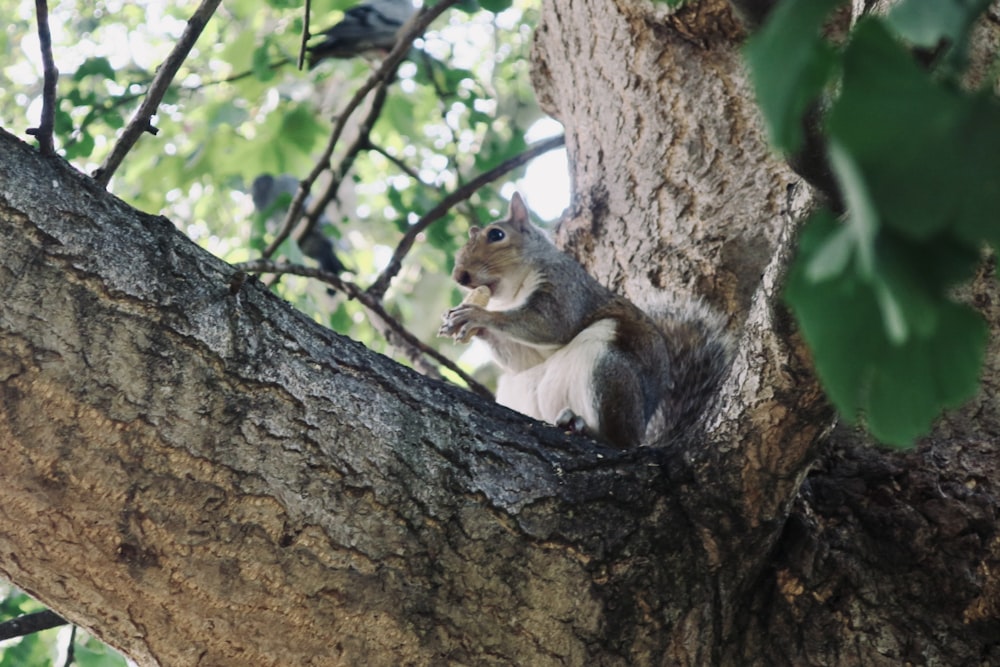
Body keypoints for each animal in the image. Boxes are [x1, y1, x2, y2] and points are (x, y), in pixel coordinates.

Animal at [436, 193, 728, 452]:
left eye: (496, 235)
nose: (459, 275)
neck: (512, 292)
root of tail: (641, 431)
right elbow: (524, 359)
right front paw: (465, 323)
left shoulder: (565, 287)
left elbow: (552, 323)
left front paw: (476, 315)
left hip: (608, 371)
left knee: (619, 440)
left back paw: (585, 428)